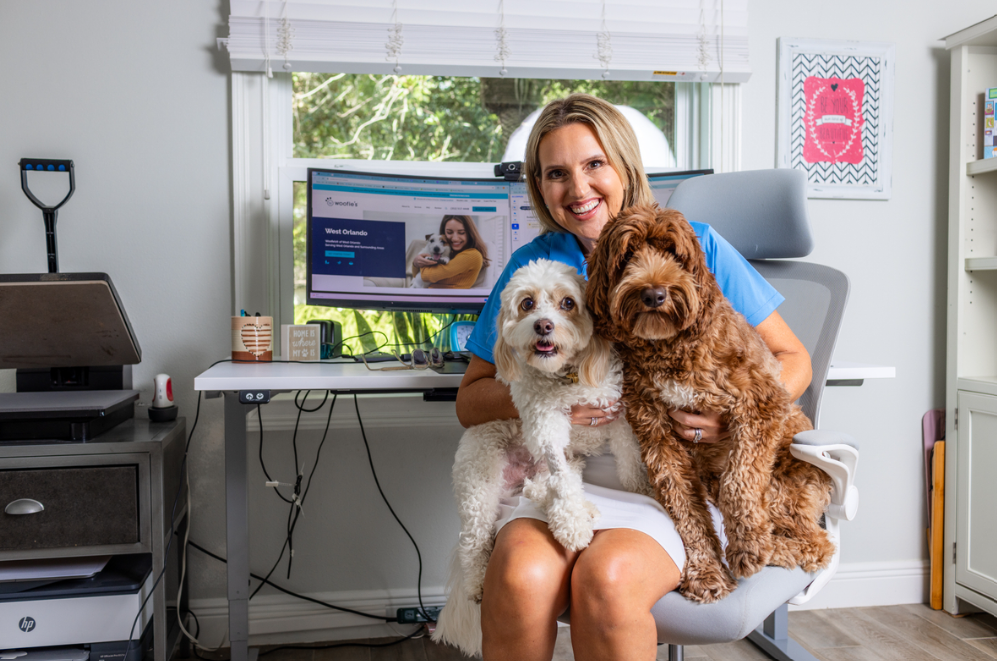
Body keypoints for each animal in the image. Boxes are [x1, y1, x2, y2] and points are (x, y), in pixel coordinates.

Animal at [432, 258, 648, 656]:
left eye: (568, 303)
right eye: (527, 303)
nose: (543, 325)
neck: (567, 377)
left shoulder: (617, 413)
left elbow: (628, 456)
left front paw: (639, 488)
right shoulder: (546, 425)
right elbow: (560, 473)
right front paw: (573, 526)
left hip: (558, 465)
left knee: (543, 487)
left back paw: (577, 505)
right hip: (479, 484)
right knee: (475, 542)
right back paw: (479, 582)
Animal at [584, 205, 832, 604]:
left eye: (673, 253)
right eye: (627, 256)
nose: (654, 294)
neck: (666, 349)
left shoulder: (761, 403)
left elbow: (739, 479)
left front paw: (747, 545)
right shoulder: (658, 437)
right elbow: (685, 510)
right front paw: (706, 572)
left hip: (783, 488)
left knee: (818, 544)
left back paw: (768, 546)